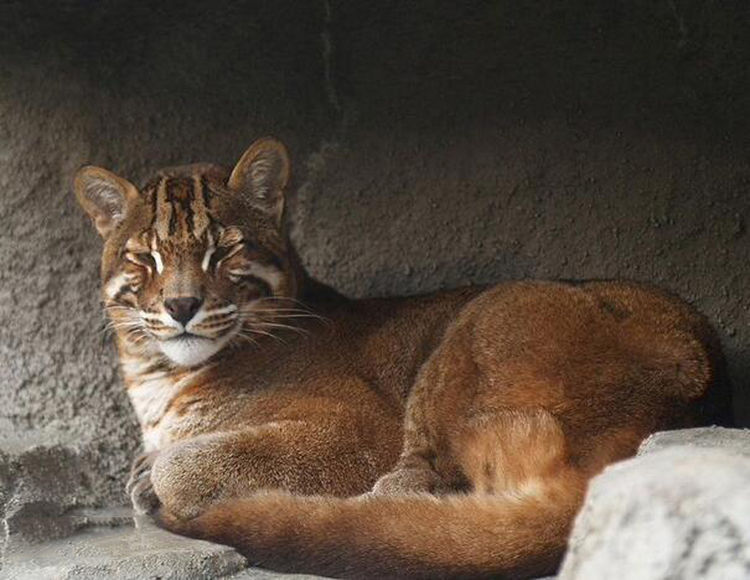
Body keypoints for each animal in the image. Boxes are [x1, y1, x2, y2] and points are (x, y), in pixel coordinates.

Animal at [73, 138, 732, 576]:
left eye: (224, 251)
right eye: (144, 258)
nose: (182, 305)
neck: (156, 374)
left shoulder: (357, 431)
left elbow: (182, 464)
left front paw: (157, 483)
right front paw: (143, 472)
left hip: (478, 321)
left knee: (401, 511)